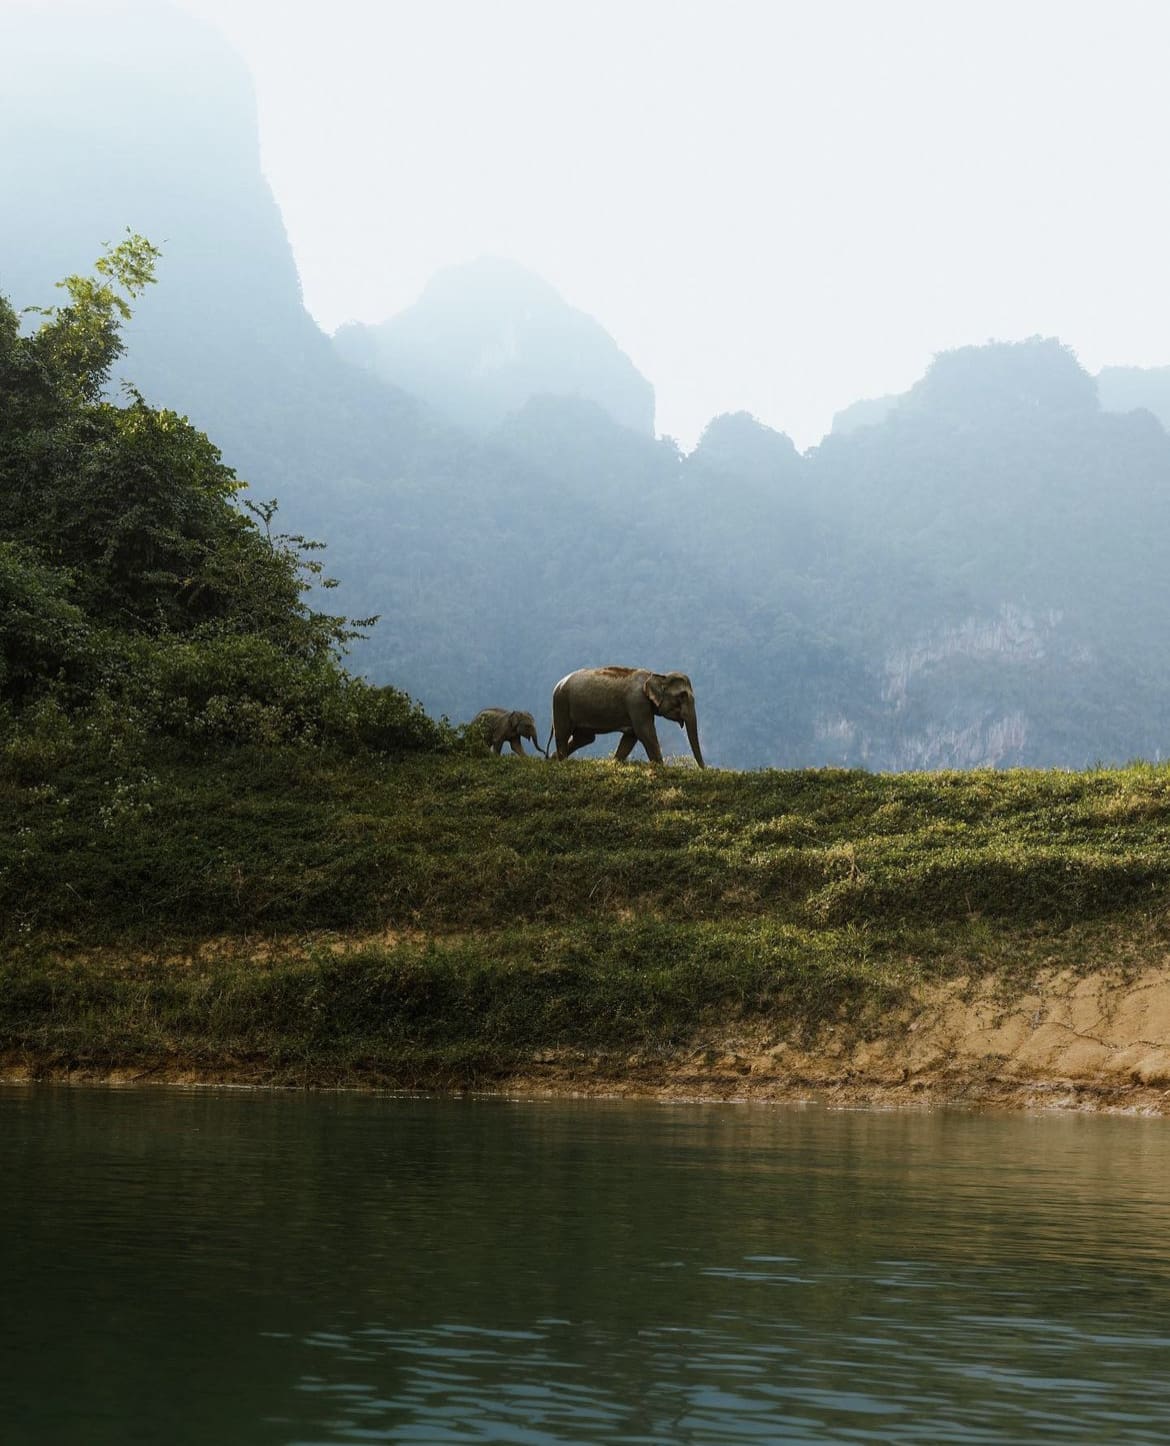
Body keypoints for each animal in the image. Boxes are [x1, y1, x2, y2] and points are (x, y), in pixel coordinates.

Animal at [549, 668, 705, 767]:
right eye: (682, 696)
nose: (704, 769)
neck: (656, 676)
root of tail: (558, 684)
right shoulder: (637, 702)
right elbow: (645, 734)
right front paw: (662, 768)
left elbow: (631, 736)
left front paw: (615, 763)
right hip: (561, 703)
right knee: (563, 733)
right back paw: (561, 763)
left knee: (584, 738)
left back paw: (552, 759)